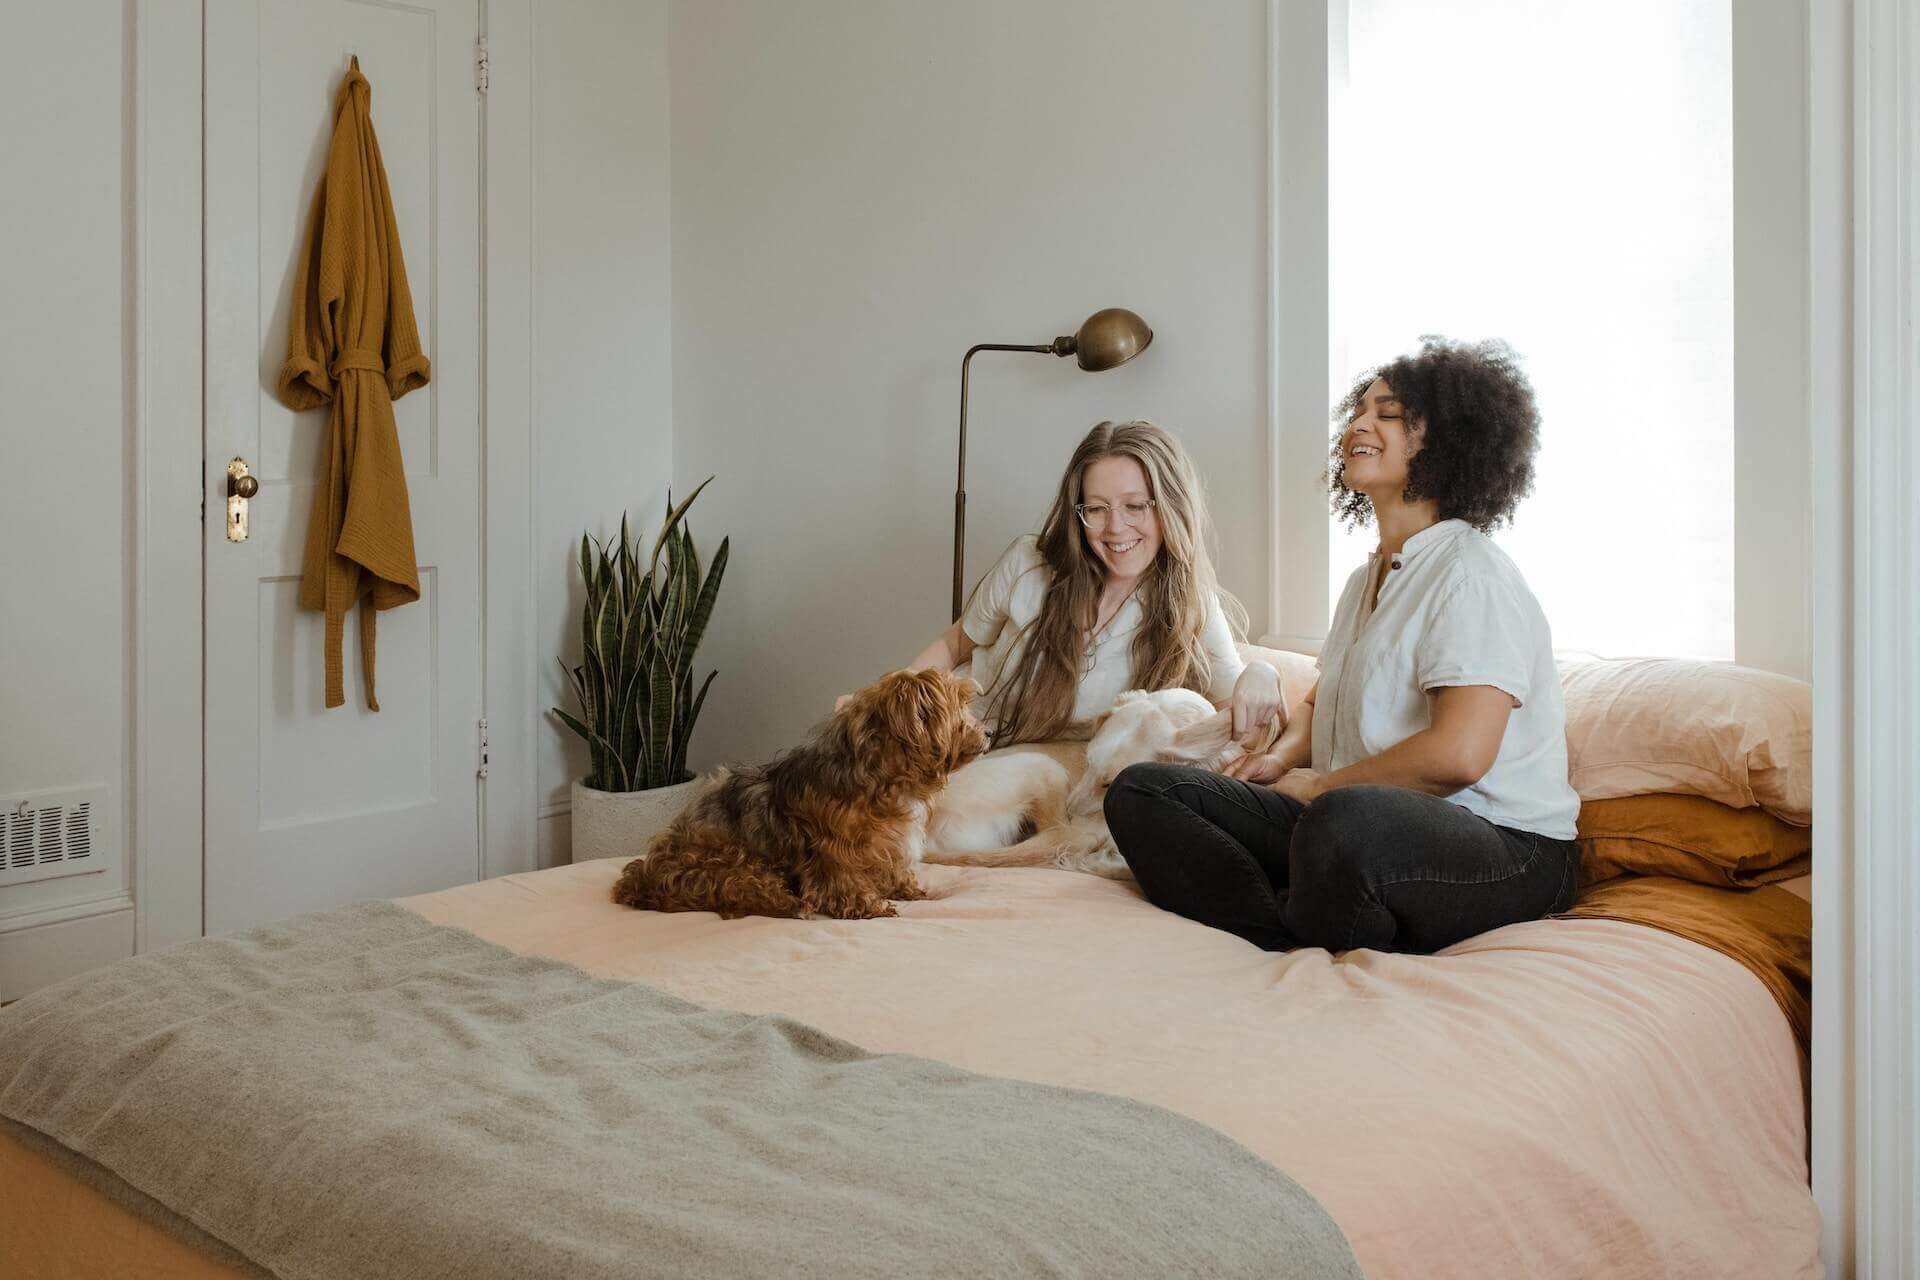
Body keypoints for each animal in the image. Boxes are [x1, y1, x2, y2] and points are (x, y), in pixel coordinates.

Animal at [610, 671, 990, 921]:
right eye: (958, 707)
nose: (988, 732)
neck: (883, 779)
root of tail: (644, 877)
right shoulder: (833, 849)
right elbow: (842, 877)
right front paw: (867, 905)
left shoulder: (888, 843)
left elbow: (893, 869)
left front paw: (908, 890)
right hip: (728, 861)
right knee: (744, 891)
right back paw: (791, 904)